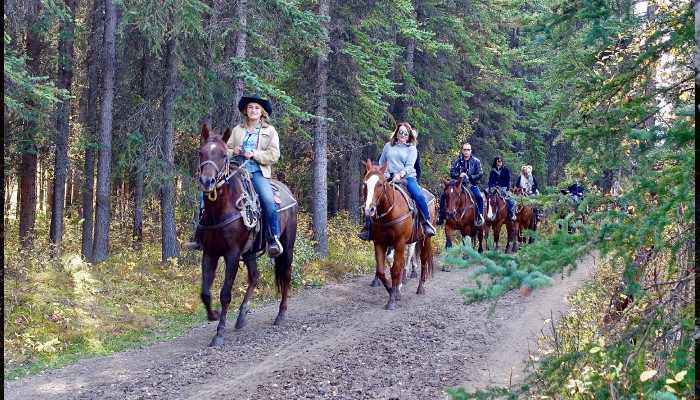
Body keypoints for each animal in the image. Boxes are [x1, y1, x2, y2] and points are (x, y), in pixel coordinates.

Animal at [197, 125, 298, 346]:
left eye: (223, 155)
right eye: (201, 152)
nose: (207, 181)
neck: (221, 210)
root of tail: (288, 191)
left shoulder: (233, 254)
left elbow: (225, 294)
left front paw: (219, 333)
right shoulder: (209, 253)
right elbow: (205, 293)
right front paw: (214, 315)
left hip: (287, 246)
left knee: (286, 275)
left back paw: (281, 315)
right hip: (250, 251)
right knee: (254, 276)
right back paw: (242, 315)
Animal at [364, 159, 434, 310]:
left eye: (380, 184)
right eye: (365, 183)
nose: (369, 209)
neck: (389, 212)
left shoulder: (399, 242)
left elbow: (395, 269)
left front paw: (391, 300)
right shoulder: (380, 243)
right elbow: (381, 270)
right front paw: (392, 289)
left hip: (425, 239)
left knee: (423, 259)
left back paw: (420, 287)